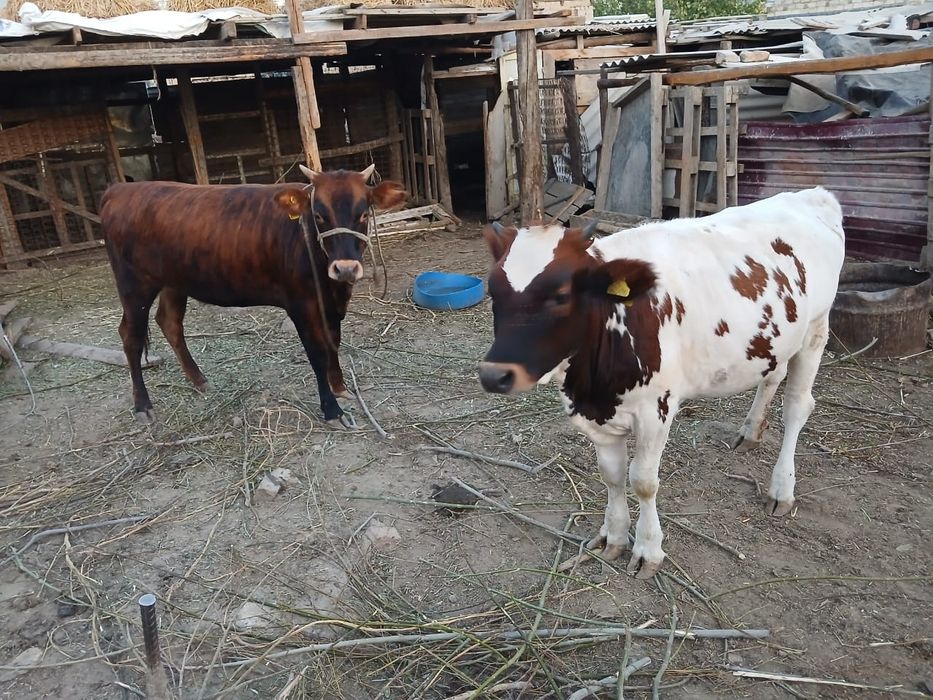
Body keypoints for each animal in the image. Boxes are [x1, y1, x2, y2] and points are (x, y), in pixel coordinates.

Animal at [101, 164, 407, 426]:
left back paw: (199, 380)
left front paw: (340, 387)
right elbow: (317, 352)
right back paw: (143, 405)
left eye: (363, 214)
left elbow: (334, 341)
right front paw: (332, 409)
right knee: (131, 336)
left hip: (174, 282)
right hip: (133, 285)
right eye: (319, 215)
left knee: (170, 322)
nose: (345, 268)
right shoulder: (300, 304)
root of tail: (118, 190)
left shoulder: (331, 303)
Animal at [478, 188, 845, 578]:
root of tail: (812, 194)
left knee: (797, 407)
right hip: (777, 338)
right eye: (493, 291)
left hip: (816, 328)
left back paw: (781, 488)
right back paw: (750, 431)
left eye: (561, 294)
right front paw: (613, 537)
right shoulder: (596, 414)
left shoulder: (656, 409)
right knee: (772, 375)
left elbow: (642, 480)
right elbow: (611, 475)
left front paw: (647, 549)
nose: (494, 375)